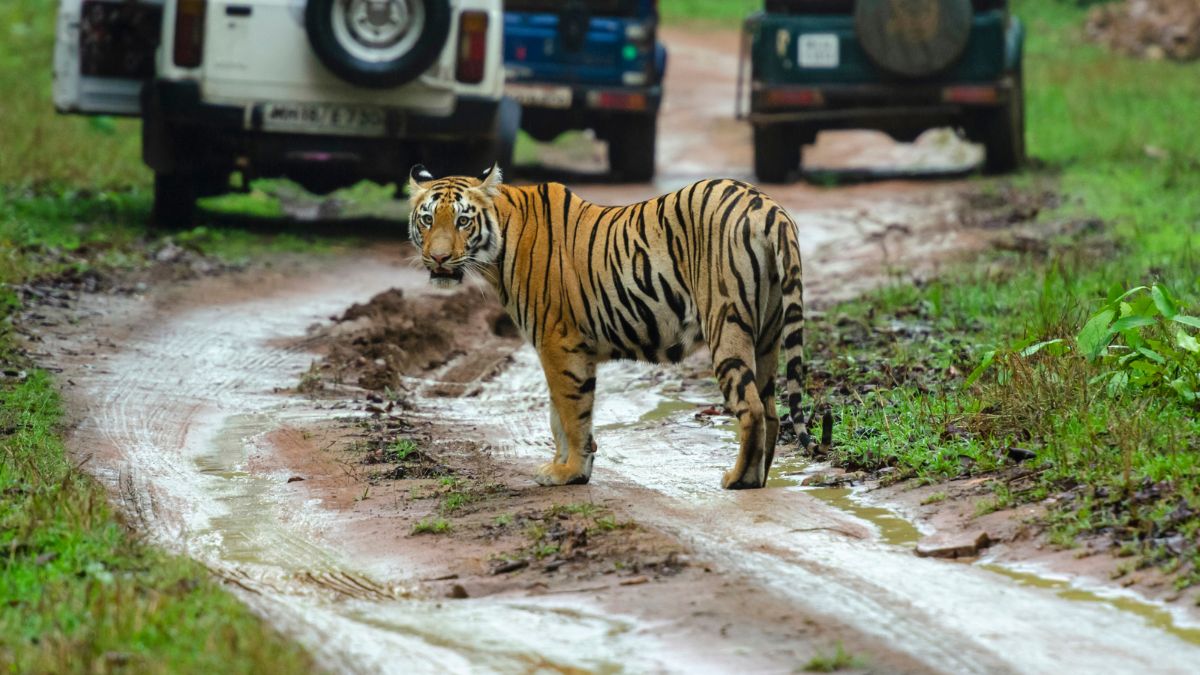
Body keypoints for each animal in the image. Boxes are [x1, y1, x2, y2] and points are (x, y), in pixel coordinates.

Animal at [408, 163, 830, 487]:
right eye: (427, 219)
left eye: (463, 220)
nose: (439, 258)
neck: (499, 246)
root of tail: (767, 206)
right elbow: (558, 414)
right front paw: (566, 466)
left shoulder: (558, 343)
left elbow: (570, 413)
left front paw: (570, 472)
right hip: (768, 334)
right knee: (771, 409)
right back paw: (758, 478)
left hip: (726, 324)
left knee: (752, 408)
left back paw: (737, 480)